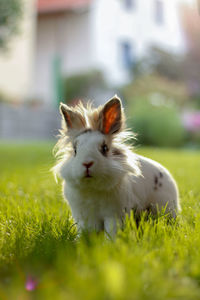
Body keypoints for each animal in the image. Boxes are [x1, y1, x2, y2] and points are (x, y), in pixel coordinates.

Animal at [52, 96, 180, 237]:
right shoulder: (86, 218)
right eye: (75, 150)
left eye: (104, 148)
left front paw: (111, 242)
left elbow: (112, 231)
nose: (87, 163)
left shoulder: (114, 216)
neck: (93, 187)